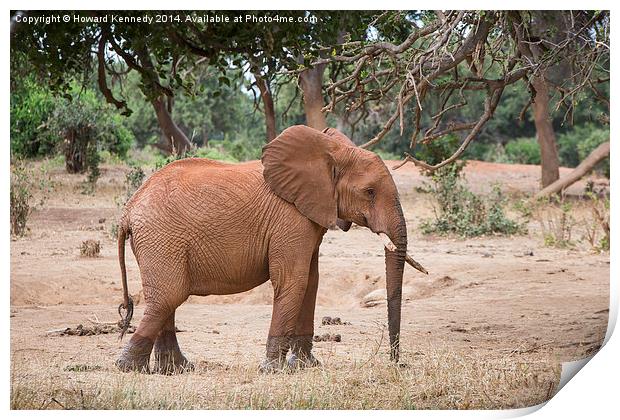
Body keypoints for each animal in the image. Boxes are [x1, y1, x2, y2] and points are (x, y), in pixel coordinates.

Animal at [114, 124, 424, 374]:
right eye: (370, 192)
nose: (395, 362)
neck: (331, 152)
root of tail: (128, 210)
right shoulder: (291, 218)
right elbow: (293, 280)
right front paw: (273, 370)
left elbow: (311, 281)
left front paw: (307, 367)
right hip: (161, 238)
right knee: (169, 296)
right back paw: (129, 368)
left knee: (168, 298)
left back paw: (177, 369)